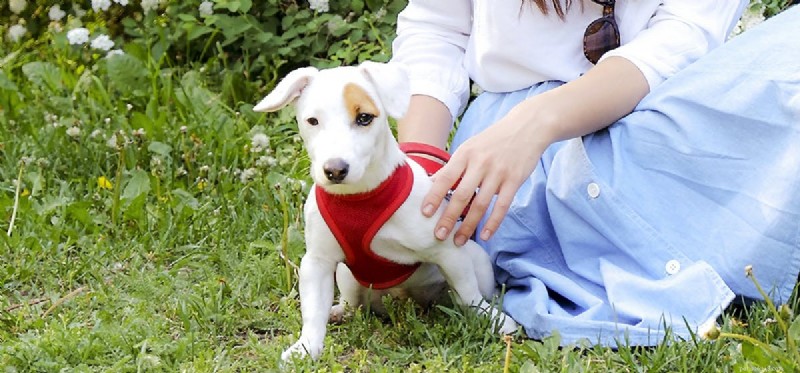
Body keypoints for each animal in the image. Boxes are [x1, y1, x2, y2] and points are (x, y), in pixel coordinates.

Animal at [255, 60, 520, 360]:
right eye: (313, 121)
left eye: (364, 118)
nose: (335, 170)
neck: (358, 197)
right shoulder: (317, 262)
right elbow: (312, 310)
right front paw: (305, 347)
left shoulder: (448, 251)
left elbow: (467, 291)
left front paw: (491, 318)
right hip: (346, 275)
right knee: (353, 303)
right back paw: (339, 311)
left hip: (476, 258)